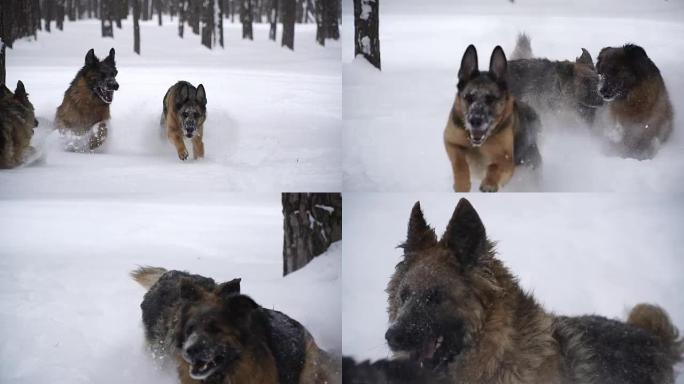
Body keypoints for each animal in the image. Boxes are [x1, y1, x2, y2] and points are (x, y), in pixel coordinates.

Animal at [446, 45, 544, 194]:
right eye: (469, 97)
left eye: (491, 99)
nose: (475, 121)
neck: (478, 145)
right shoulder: (451, 142)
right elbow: (459, 162)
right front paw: (461, 185)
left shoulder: (508, 160)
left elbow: (495, 165)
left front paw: (489, 183)